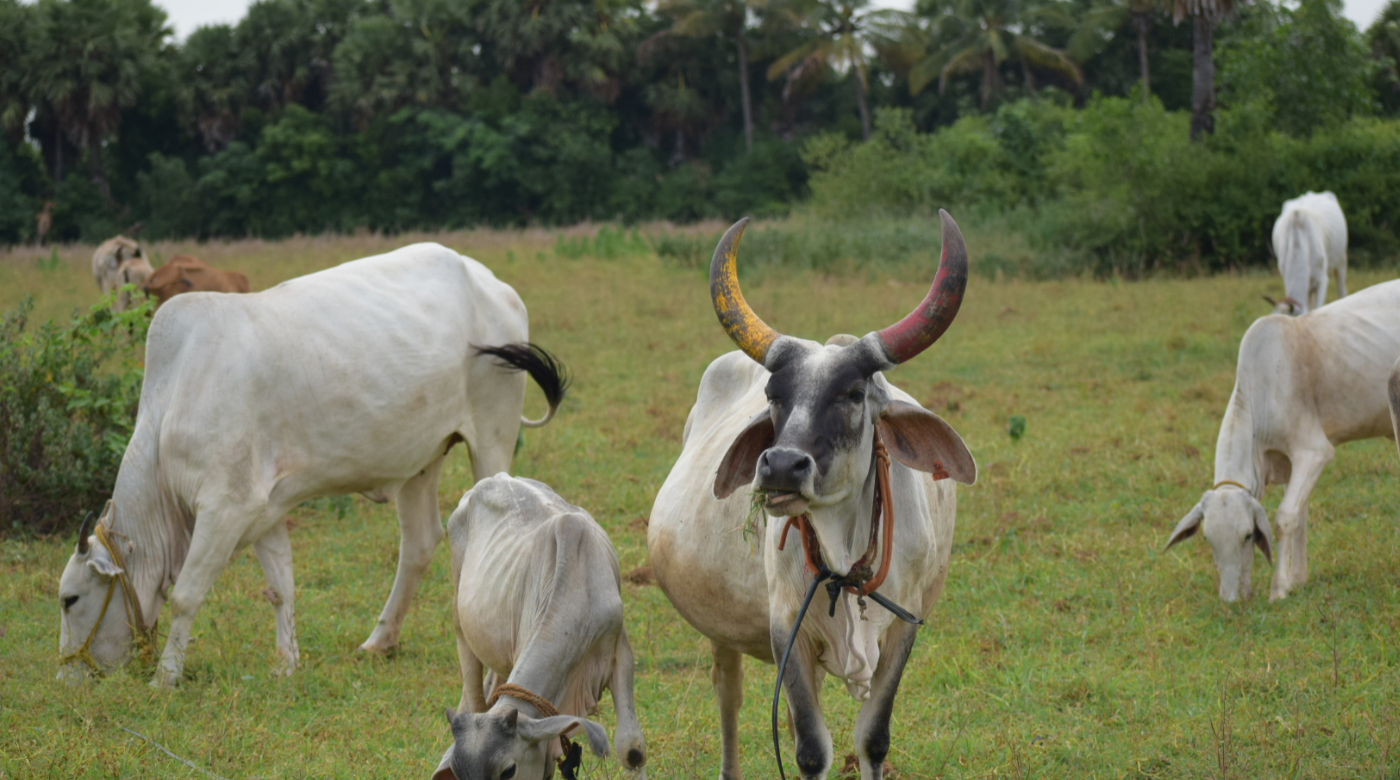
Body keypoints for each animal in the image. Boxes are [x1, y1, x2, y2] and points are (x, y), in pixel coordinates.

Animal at [54, 240, 568, 683]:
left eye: (69, 599)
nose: (66, 678)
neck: (174, 403)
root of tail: (491, 282)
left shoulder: (224, 508)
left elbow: (186, 596)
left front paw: (165, 678)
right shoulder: (263, 511)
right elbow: (282, 587)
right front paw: (287, 663)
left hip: (493, 438)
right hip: (423, 458)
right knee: (420, 543)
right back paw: (380, 641)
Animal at [431, 473, 644, 778]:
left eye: (508, 770)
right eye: (459, 774)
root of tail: (494, 478)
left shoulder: (619, 650)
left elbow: (632, 749)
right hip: (462, 625)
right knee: (474, 697)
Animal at [649, 211, 980, 778]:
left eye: (853, 393)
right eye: (773, 394)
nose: (782, 465)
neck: (844, 553)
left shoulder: (904, 627)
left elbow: (873, 739)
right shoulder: (787, 628)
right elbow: (810, 748)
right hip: (723, 631)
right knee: (729, 695)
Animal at [1164, 280, 1400, 602]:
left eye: (1247, 535)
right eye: (1209, 540)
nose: (1231, 599)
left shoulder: (1313, 452)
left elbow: (1286, 517)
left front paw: (1279, 588)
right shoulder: (1289, 462)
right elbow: (1301, 514)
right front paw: (1298, 578)